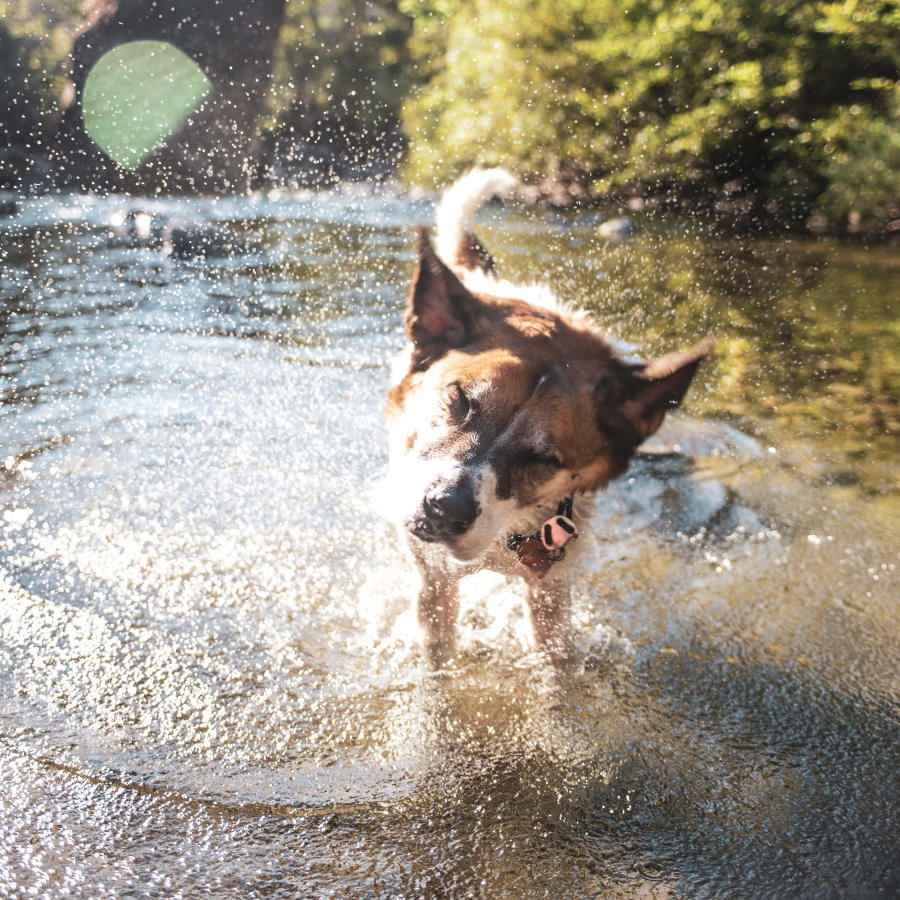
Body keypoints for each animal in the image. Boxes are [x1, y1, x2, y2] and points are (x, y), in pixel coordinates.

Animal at [386, 169, 712, 664]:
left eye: (544, 459)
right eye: (459, 399)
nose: (445, 509)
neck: (508, 532)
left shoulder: (553, 588)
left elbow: (555, 656)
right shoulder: (434, 577)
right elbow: (437, 642)